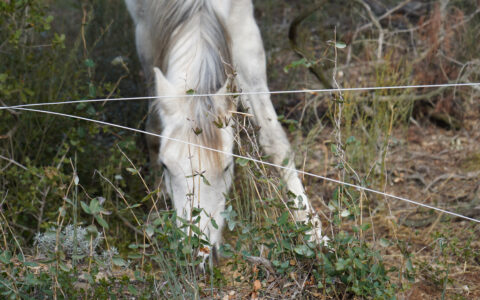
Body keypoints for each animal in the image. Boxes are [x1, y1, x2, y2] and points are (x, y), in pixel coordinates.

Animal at [124, 0, 328, 258]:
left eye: (227, 167)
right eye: (165, 166)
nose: (196, 252)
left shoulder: (243, 28)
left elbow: (275, 140)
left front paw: (311, 228)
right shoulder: (146, 33)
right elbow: (152, 128)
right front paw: (156, 204)